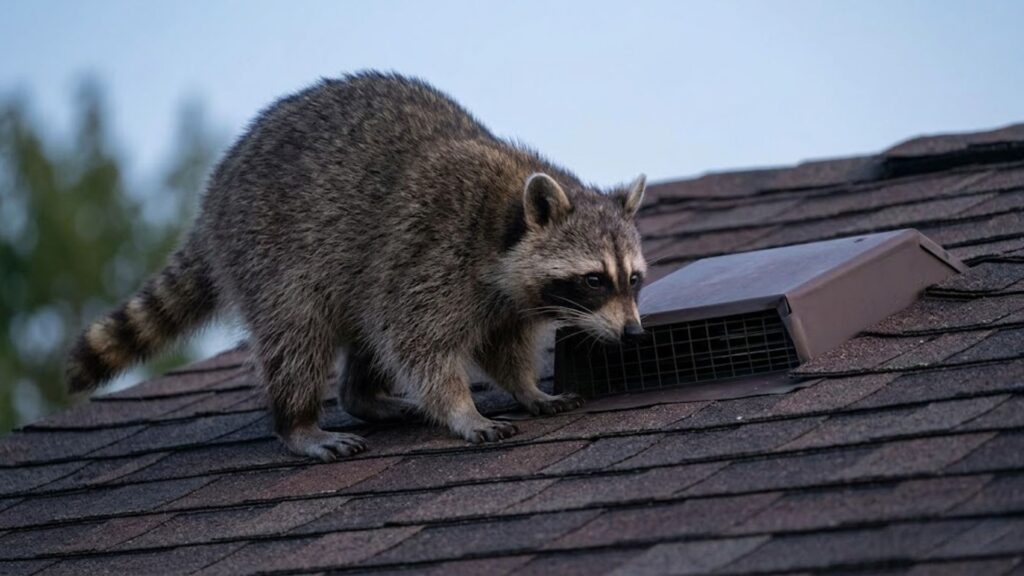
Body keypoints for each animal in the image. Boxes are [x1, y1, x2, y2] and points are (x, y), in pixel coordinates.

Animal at [66, 72, 648, 461]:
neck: (503, 213)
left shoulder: (504, 299)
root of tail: (213, 200)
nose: (634, 334)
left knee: (364, 327)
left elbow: (502, 347)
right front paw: (462, 409)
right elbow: (415, 342)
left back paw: (364, 396)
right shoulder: (430, 251)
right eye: (594, 280)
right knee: (297, 337)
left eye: (634, 279)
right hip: (271, 253)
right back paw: (299, 423)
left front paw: (527, 389)